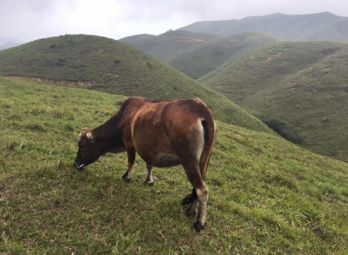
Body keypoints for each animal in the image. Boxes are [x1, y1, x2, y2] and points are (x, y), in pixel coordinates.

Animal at [73, 96, 215, 232]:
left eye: (82, 145)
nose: (75, 164)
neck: (124, 118)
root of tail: (199, 107)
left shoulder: (129, 142)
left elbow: (131, 161)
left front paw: (127, 177)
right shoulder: (148, 148)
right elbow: (149, 164)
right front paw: (149, 180)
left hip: (188, 160)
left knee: (202, 190)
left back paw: (199, 222)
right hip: (203, 160)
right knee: (197, 187)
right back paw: (191, 210)